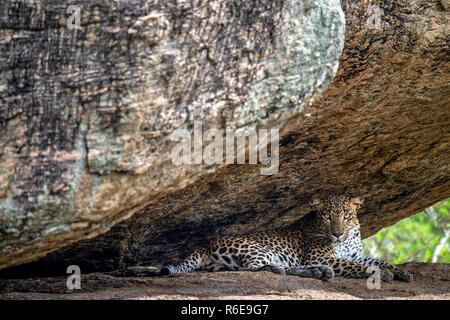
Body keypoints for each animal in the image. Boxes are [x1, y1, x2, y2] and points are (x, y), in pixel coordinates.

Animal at [158, 194, 412, 282]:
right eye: (327, 216)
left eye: (347, 216)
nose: (337, 233)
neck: (348, 238)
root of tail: (205, 244)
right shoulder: (323, 256)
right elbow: (356, 266)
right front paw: (384, 274)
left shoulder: (358, 255)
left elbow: (380, 261)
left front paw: (402, 272)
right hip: (257, 249)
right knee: (254, 268)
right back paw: (311, 271)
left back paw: (318, 273)